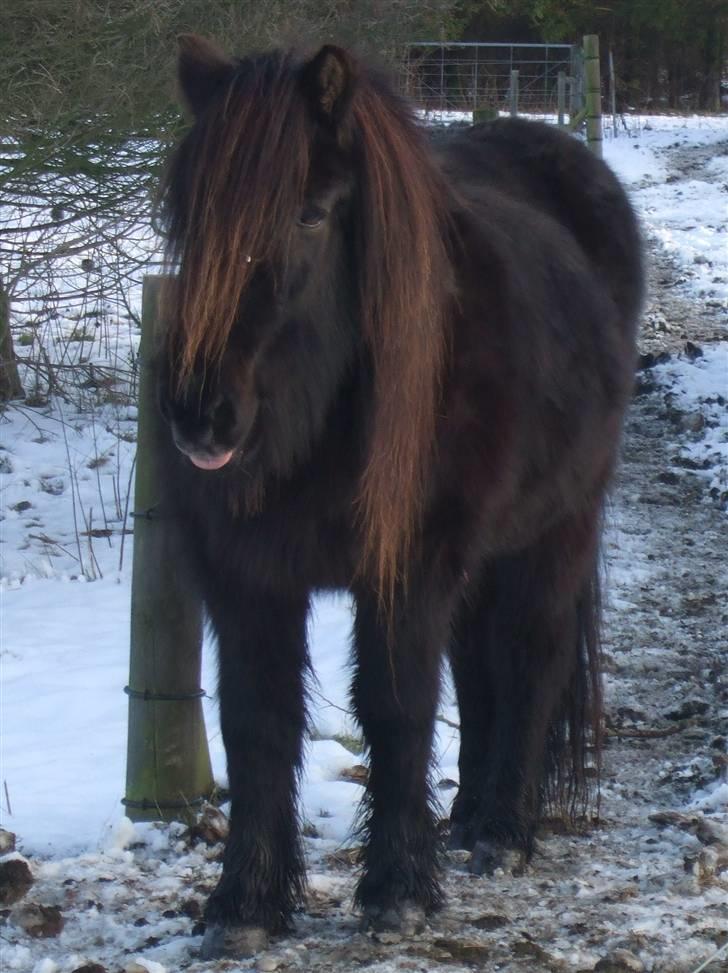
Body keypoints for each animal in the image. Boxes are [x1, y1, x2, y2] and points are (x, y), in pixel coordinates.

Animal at [155, 36, 644, 956]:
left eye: (311, 213)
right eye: (185, 213)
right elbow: (256, 722)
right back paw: (466, 818)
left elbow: (395, 709)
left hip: (559, 525)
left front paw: (396, 891)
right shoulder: (247, 579)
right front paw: (245, 904)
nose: (201, 415)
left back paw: (502, 831)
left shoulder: (407, 570)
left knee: (532, 655)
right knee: (479, 664)